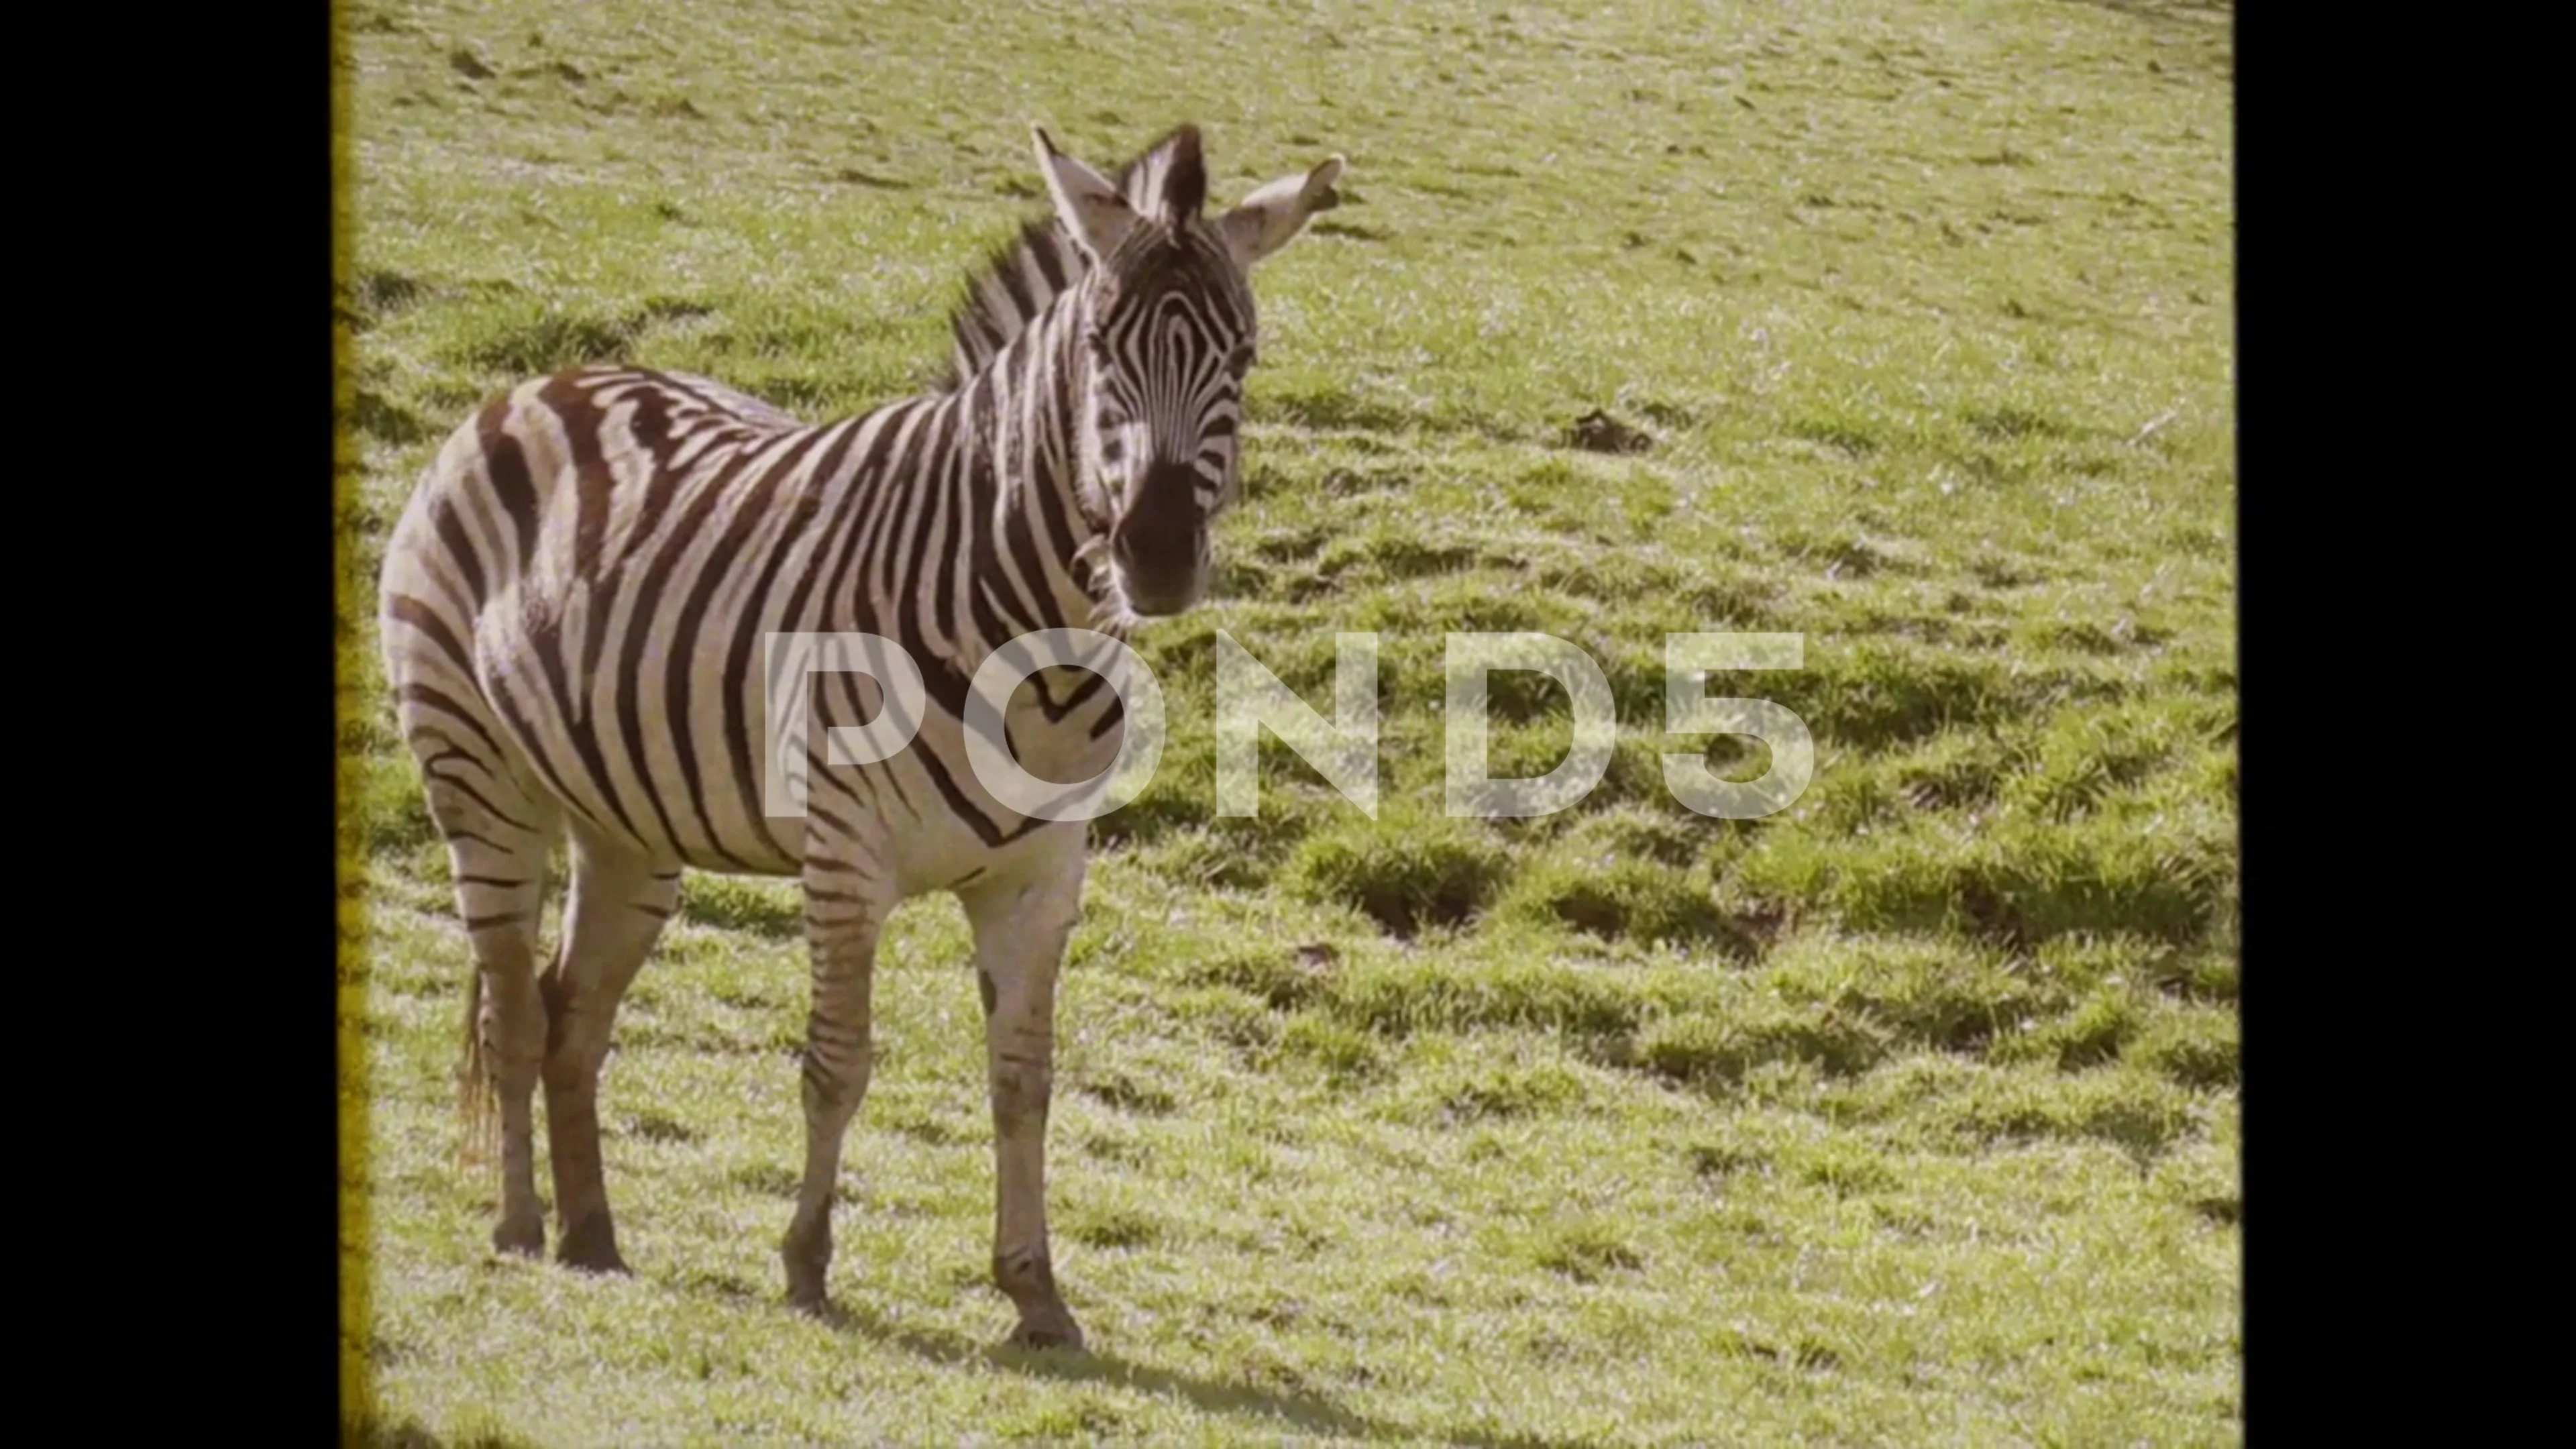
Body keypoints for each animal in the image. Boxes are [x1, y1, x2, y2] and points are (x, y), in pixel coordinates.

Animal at [381, 123, 1350, 1340]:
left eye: (1245, 357)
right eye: (1098, 348)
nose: (1160, 553)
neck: (1036, 652)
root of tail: (544, 383)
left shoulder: (1041, 875)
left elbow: (1025, 1078)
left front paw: (1036, 1293)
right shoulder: (847, 856)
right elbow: (837, 1062)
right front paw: (805, 1263)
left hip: (627, 825)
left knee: (575, 1018)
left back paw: (592, 1238)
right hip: (480, 775)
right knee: (513, 1003)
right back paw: (517, 1227)